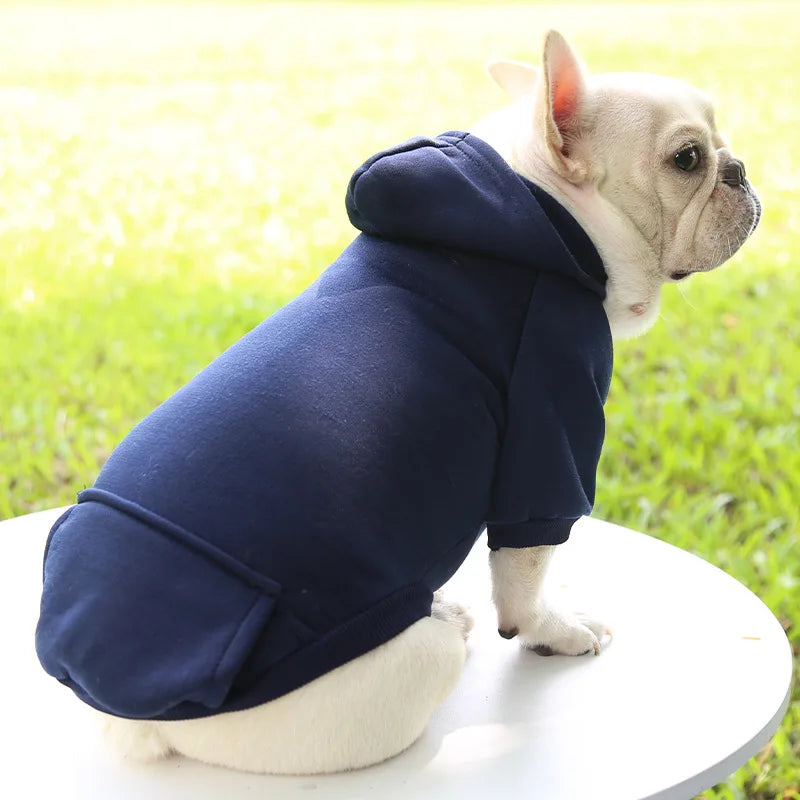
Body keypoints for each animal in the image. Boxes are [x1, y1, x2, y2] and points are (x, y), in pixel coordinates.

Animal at [37, 31, 764, 776]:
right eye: (687, 160)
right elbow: (528, 572)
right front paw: (555, 630)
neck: (541, 205)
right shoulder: (552, 407)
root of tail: (128, 715)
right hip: (401, 668)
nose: (738, 168)